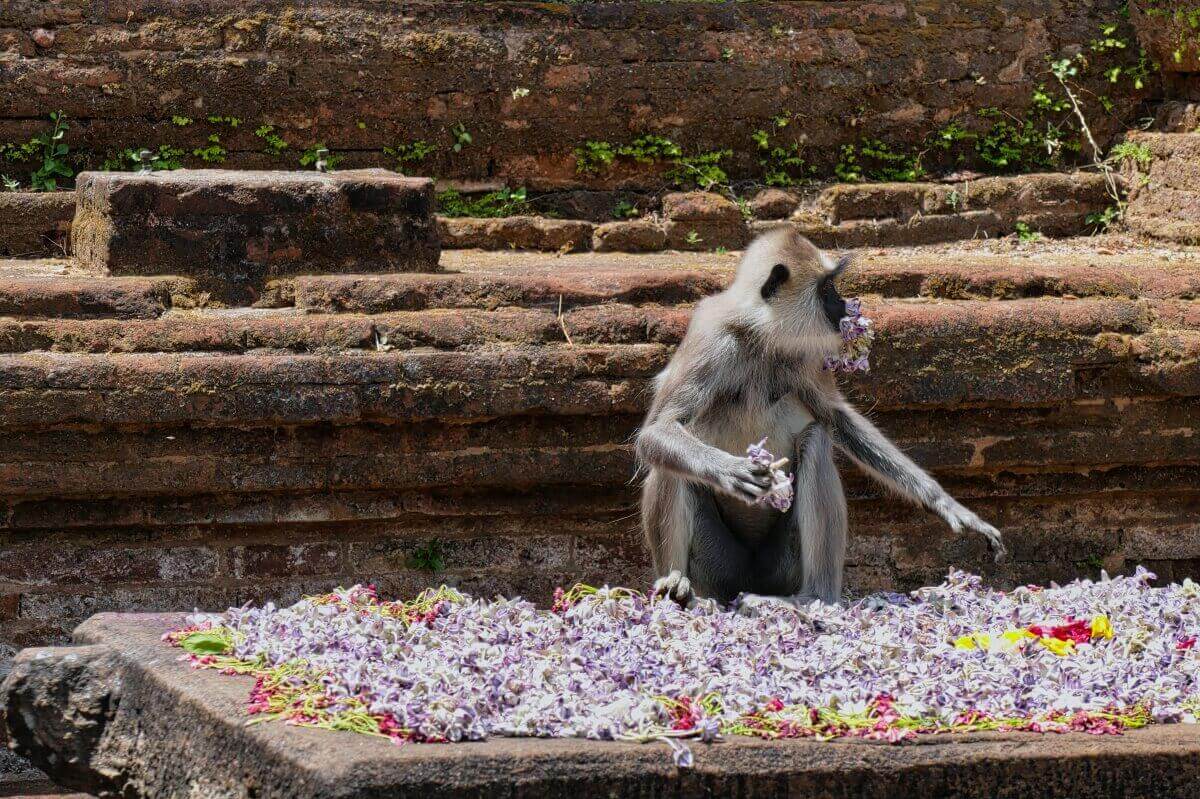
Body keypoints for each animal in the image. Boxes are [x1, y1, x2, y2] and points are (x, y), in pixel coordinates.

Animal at [638, 224, 1003, 604]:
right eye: (826, 289)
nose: (843, 305)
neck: (761, 334)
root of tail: (750, 581)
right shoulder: (712, 340)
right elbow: (657, 431)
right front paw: (731, 471)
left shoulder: (805, 353)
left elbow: (837, 418)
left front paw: (946, 503)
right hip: (717, 570)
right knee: (667, 458)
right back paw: (680, 588)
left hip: (781, 566)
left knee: (815, 440)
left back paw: (815, 595)